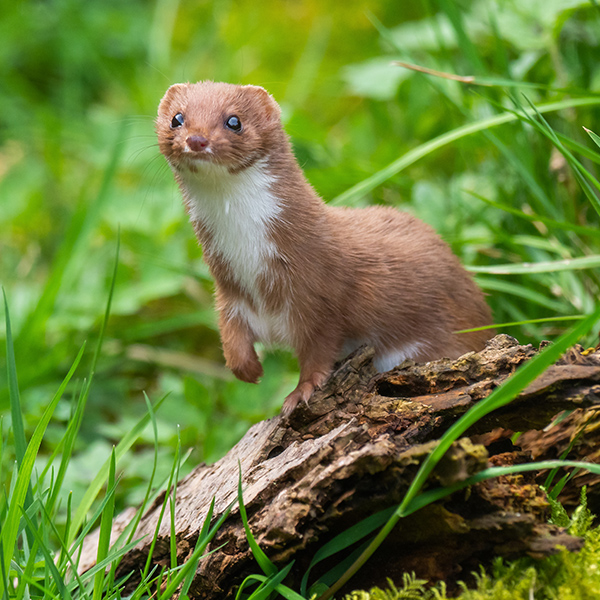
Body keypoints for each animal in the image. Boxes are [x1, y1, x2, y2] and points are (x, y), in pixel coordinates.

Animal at [156, 79, 492, 414]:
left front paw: (299, 392)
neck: (250, 259)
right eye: (177, 118)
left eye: (234, 121)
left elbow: (319, 350)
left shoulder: (318, 292)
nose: (196, 139)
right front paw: (249, 370)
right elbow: (231, 336)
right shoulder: (230, 293)